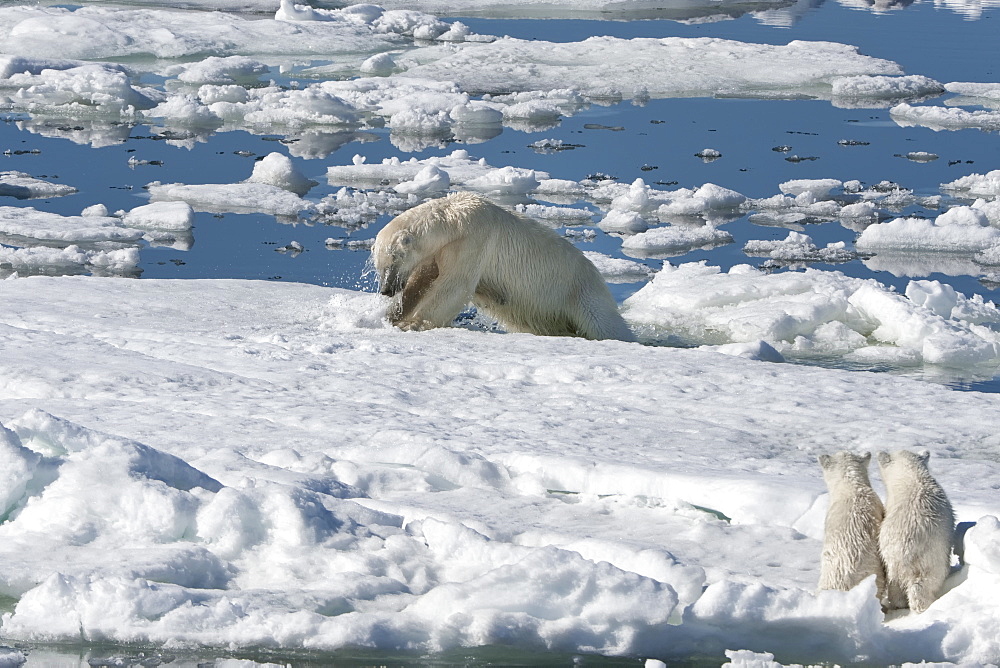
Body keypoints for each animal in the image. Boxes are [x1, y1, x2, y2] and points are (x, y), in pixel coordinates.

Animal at [372, 192, 636, 340]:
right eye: (378, 266)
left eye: (394, 259)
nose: (386, 289)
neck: (455, 220)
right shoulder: (442, 251)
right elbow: (421, 282)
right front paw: (392, 315)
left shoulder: (475, 239)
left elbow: (454, 287)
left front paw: (411, 324)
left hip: (580, 290)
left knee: (603, 323)